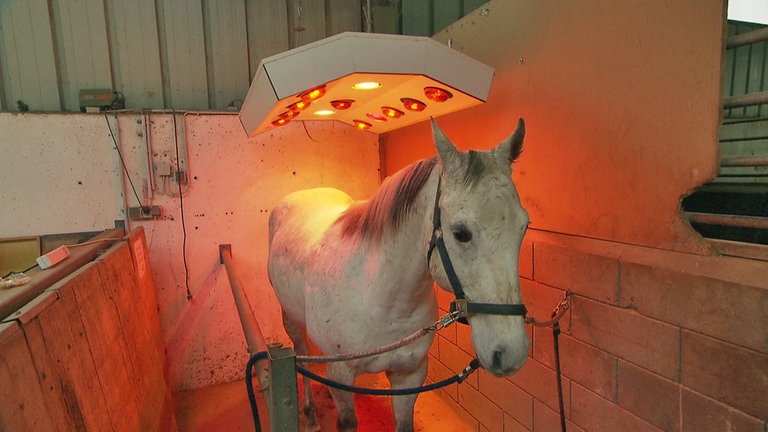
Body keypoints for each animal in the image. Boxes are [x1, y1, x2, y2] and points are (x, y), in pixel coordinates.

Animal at [267, 117, 530, 432]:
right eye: (461, 233)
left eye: (524, 226)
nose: (511, 353)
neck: (379, 297)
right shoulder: (341, 374)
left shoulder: (410, 374)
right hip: (290, 320)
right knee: (302, 358)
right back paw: (310, 414)